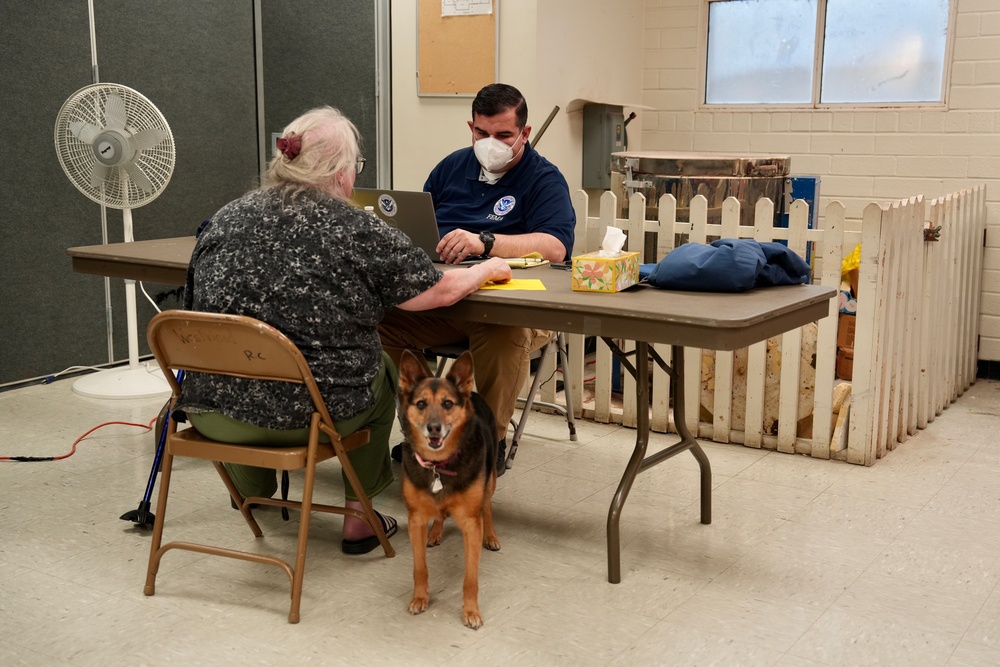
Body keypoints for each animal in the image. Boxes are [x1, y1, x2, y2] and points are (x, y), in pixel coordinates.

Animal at [396, 350, 500, 632]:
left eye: (448, 404)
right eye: (421, 404)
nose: (434, 428)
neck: (439, 465)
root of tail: (472, 392)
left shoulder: (471, 524)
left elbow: (470, 579)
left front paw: (471, 611)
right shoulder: (415, 520)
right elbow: (419, 568)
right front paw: (420, 598)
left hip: (490, 480)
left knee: (487, 506)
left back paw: (491, 536)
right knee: (440, 515)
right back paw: (436, 532)